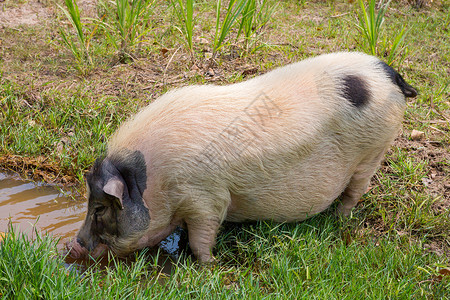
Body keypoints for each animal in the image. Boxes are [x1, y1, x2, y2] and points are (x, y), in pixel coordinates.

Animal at [67, 52, 418, 262]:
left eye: (99, 208)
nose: (75, 244)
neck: (152, 181)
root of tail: (390, 74)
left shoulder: (206, 197)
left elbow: (201, 237)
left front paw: (207, 265)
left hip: (374, 150)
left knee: (356, 190)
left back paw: (338, 220)